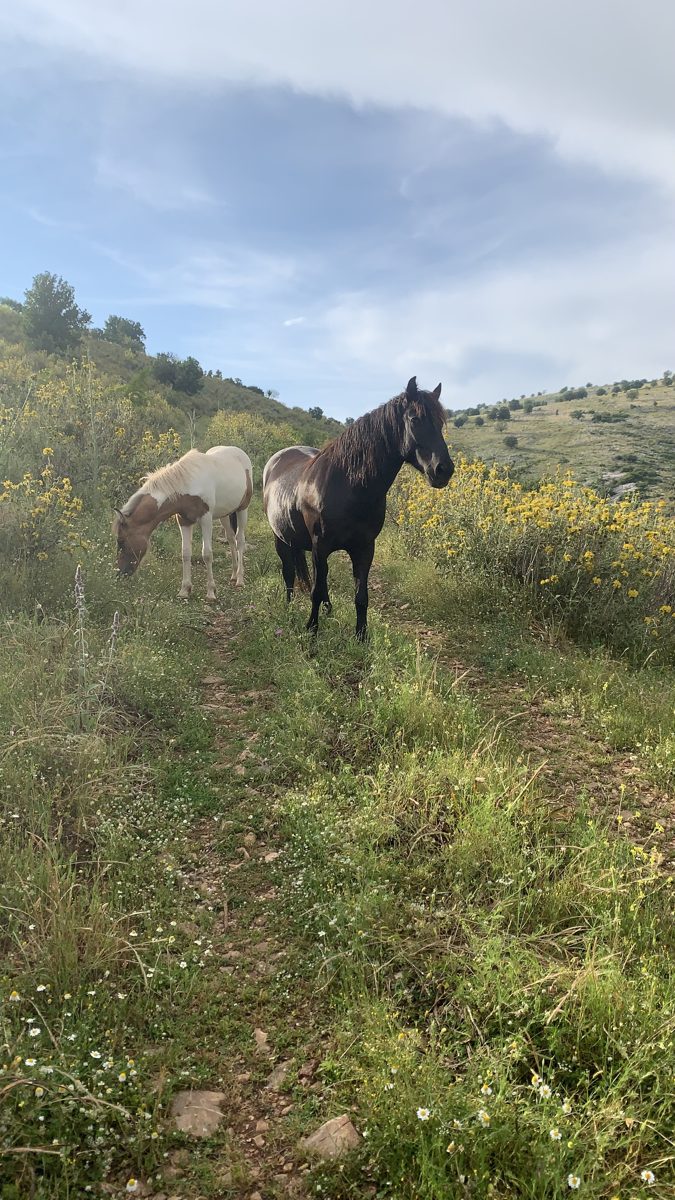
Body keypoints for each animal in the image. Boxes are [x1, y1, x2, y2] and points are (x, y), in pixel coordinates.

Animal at [114, 445, 253, 600]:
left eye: (120, 541)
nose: (119, 573)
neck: (188, 486)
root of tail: (239, 452)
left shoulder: (206, 520)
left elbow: (207, 554)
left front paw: (211, 592)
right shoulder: (184, 521)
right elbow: (185, 553)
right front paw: (184, 590)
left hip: (242, 509)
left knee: (240, 540)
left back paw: (240, 579)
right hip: (225, 514)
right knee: (231, 539)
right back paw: (234, 575)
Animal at [262, 376, 453, 640]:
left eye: (441, 422)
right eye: (415, 419)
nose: (443, 470)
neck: (348, 486)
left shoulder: (364, 548)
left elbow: (361, 596)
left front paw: (361, 636)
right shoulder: (320, 546)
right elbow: (314, 590)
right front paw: (311, 630)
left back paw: (328, 609)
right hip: (281, 538)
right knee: (290, 573)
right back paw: (290, 608)